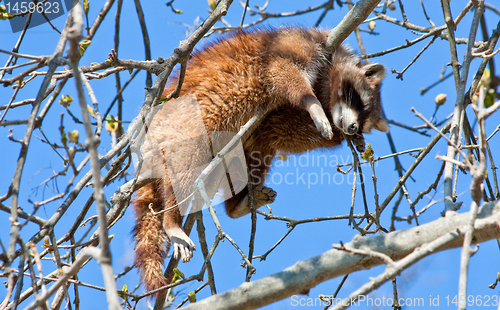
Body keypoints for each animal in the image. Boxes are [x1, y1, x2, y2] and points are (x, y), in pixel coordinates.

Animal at [131, 27, 388, 294]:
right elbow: (283, 71)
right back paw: (172, 219)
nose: (353, 127)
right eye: (358, 100)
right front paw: (313, 104)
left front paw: (346, 136)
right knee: (183, 167)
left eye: (366, 120)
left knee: (255, 155)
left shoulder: (274, 119)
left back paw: (236, 204)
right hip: (182, 125)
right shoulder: (300, 44)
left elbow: (285, 132)